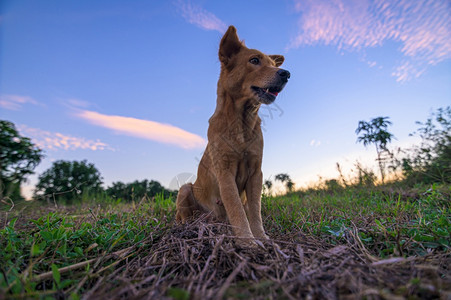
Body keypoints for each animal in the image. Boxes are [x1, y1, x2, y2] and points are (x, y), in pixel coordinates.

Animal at [175, 25, 292, 246]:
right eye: (254, 60)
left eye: (273, 64)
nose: (287, 73)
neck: (242, 122)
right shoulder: (225, 171)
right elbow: (236, 207)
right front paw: (247, 241)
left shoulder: (256, 172)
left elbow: (254, 211)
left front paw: (261, 237)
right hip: (185, 190)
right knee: (183, 218)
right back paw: (191, 227)